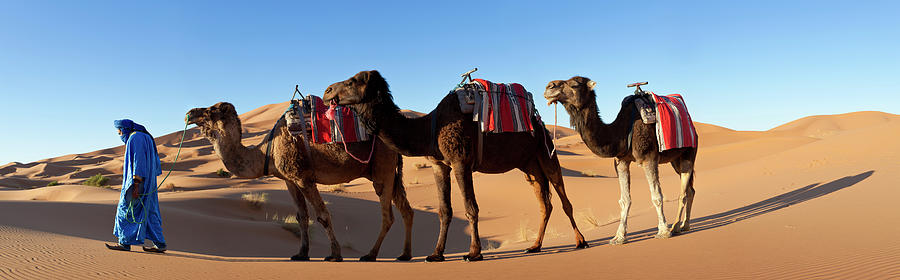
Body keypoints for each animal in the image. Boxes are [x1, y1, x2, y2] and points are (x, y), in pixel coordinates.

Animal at [187, 101, 418, 262]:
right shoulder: (290, 180)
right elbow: (302, 216)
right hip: (391, 173)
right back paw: (405, 255)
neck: (267, 151)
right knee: (406, 210)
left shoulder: (304, 177)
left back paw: (370, 255)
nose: (190, 113)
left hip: (382, 169)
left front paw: (335, 254)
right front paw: (301, 253)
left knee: (388, 215)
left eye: (212, 109)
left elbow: (322, 215)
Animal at [326, 70, 588, 262]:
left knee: (563, 199)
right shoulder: (439, 165)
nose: (328, 91)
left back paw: (580, 241)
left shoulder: (461, 160)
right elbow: (445, 210)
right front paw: (435, 254)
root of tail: (537, 118)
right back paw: (534, 246)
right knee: (545, 203)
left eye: (352, 81)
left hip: (546, 152)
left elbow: (471, 207)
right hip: (529, 166)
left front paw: (474, 253)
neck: (428, 128)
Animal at [540, 76, 696, 245]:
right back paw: (685, 225)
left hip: (689, 153)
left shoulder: (649, 158)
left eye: (574, 84)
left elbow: (657, 196)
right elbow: (625, 200)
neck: (622, 131)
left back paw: (675, 227)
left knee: (683, 192)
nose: (549, 87)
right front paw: (619, 237)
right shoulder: (621, 161)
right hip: (675, 160)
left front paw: (663, 232)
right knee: (690, 190)